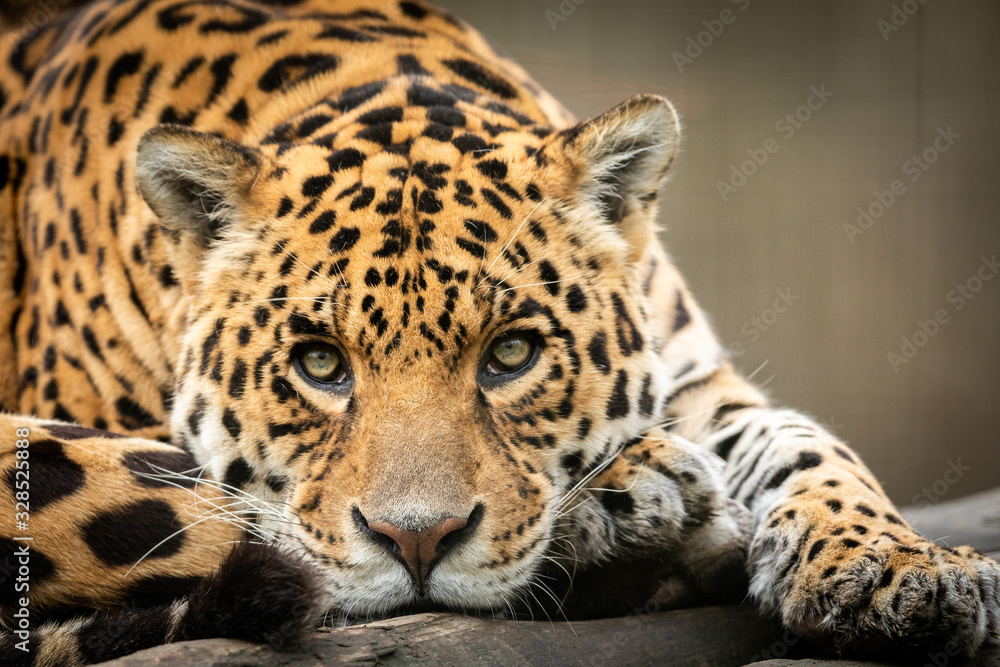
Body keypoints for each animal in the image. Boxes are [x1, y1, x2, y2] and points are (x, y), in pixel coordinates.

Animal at [0, 1, 997, 665]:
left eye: (511, 353)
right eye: (319, 365)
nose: (416, 541)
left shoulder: (694, 375)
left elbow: (804, 440)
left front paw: (899, 565)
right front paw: (635, 487)